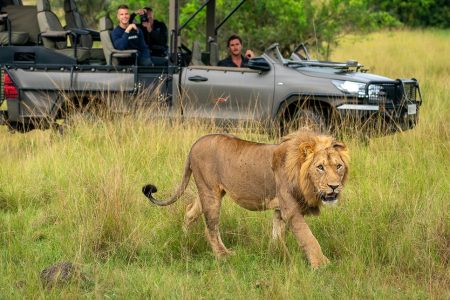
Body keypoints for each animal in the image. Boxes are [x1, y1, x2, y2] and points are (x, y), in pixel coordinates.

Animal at [142, 130, 350, 268]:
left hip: (208, 192)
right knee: (211, 227)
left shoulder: (279, 209)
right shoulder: (291, 209)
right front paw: (322, 264)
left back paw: (185, 237)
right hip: (210, 194)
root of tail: (195, 144)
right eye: (320, 167)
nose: (334, 186)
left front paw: (277, 254)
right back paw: (223, 255)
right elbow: (308, 238)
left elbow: (277, 234)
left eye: (338, 166)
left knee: (190, 211)